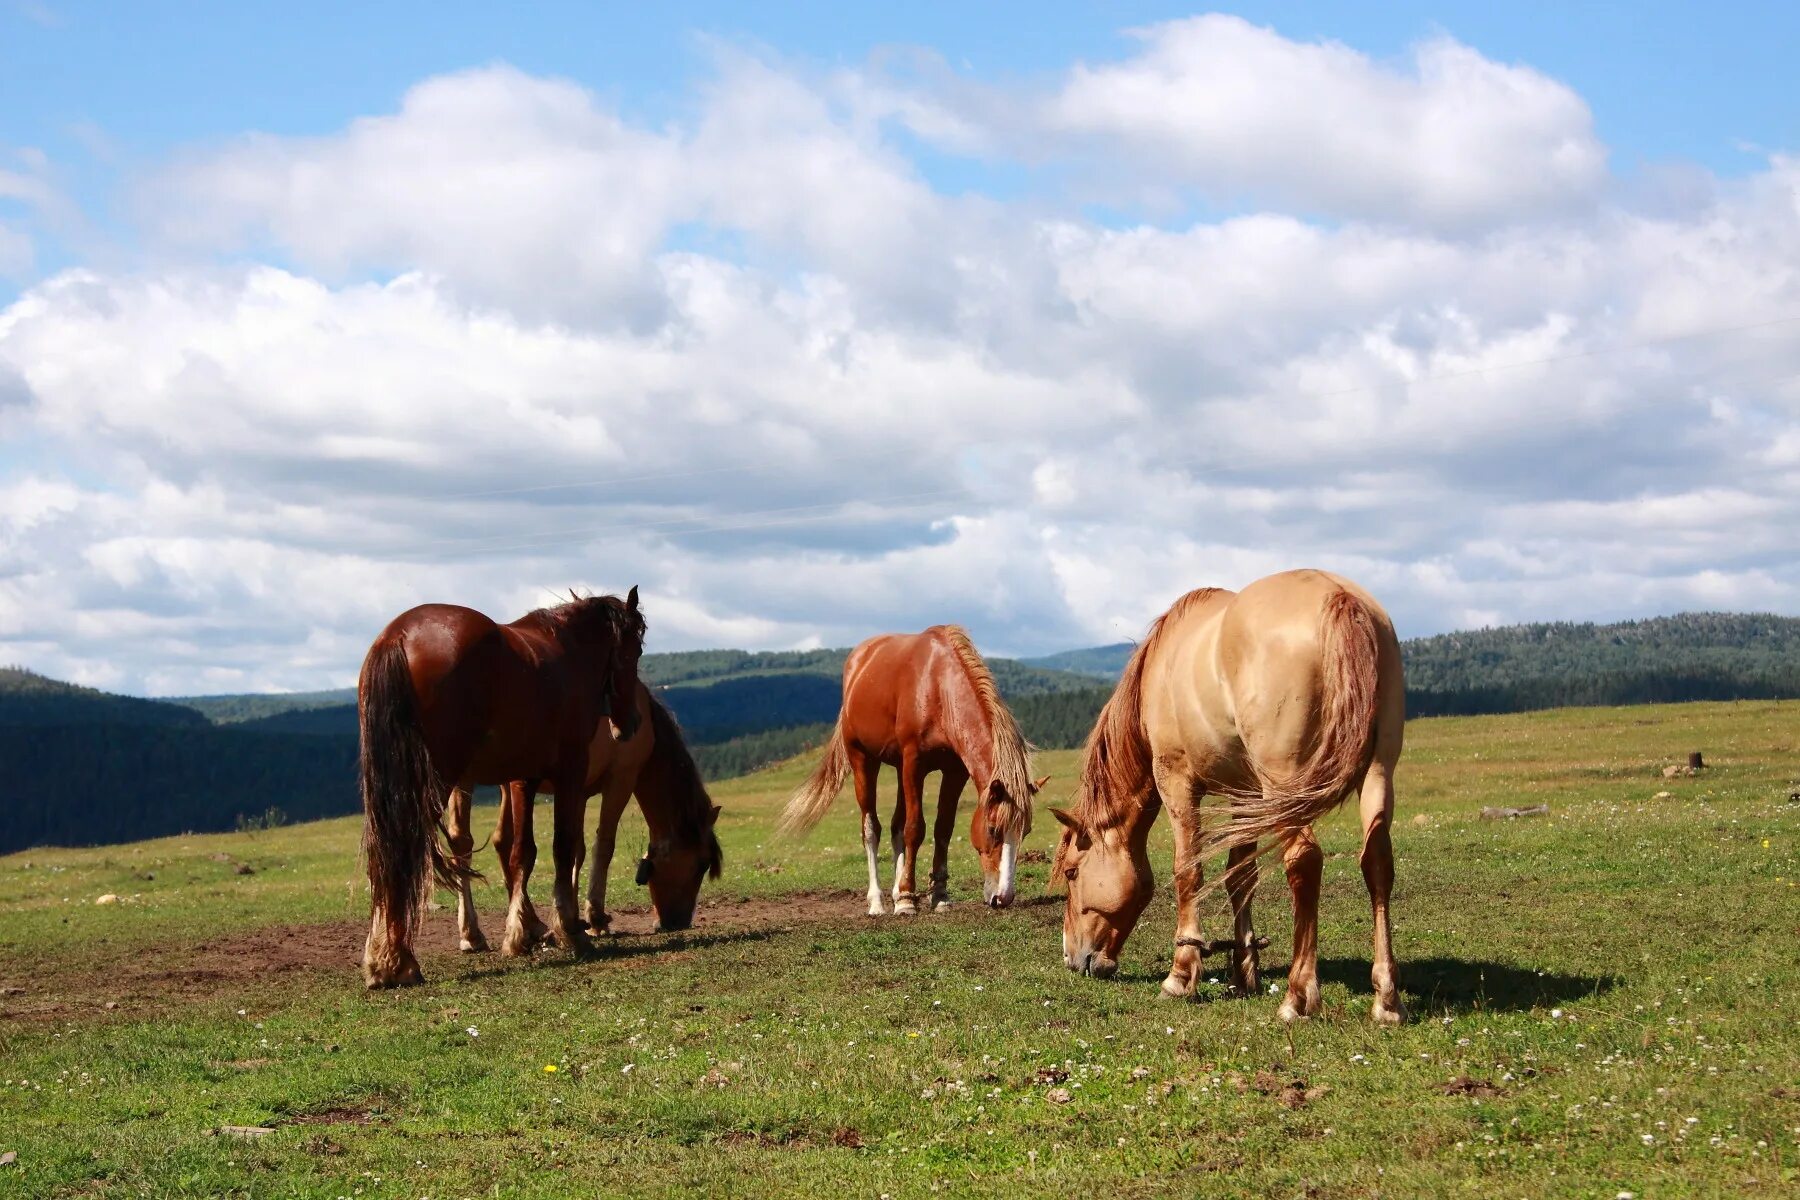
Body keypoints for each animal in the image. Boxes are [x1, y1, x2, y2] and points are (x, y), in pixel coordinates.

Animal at [354, 586, 644, 993]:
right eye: (635, 652)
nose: (630, 723)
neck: (567, 653)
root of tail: (397, 635)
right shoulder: (569, 773)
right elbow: (563, 848)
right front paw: (569, 930)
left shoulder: (524, 779)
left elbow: (523, 852)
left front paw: (523, 932)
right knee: (404, 852)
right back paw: (400, 961)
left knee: (383, 855)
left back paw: (382, 961)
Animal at [442, 683, 723, 957]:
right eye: (702, 864)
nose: (680, 921)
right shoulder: (620, 779)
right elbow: (604, 845)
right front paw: (595, 917)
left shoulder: (579, 790)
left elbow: (576, 850)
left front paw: (573, 918)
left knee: (479, 841)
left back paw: (505, 928)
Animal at [781, 626, 1051, 913]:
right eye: (992, 829)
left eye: (1026, 831)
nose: (1003, 897)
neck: (938, 689)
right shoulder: (914, 764)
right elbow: (914, 829)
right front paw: (907, 899)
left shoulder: (954, 771)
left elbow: (942, 829)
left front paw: (938, 895)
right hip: (863, 759)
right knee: (871, 828)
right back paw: (878, 902)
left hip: (899, 769)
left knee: (895, 826)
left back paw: (896, 891)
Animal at [1051, 572, 1411, 1021]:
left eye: (1071, 873)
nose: (1071, 958)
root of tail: (1342, 600)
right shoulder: (1247, 793)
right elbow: (1241, 876)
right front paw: (1245, 972)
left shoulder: (1177, 781)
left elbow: (1188, 870)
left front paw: (1180, 975)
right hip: (1377, 773)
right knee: (1377, 861)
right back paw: (1387, 1000)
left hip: (1287, 784)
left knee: (1305, 862)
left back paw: (1298, 995)